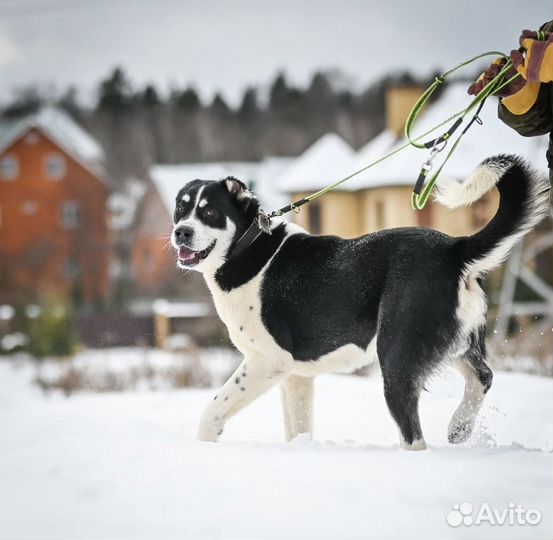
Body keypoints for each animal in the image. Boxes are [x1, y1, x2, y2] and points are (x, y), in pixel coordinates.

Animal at [170, 154, 548, 450]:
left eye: (210, 212)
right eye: (181, 209)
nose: (181, 232)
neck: (248, 248)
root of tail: (453, 250)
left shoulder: (267, 361)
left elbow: (213, 410)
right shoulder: (296, 376)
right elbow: (298, 429)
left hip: (396, 357)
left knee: (414, 434)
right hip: (450, 342)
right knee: (483, 376)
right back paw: (459, 426)